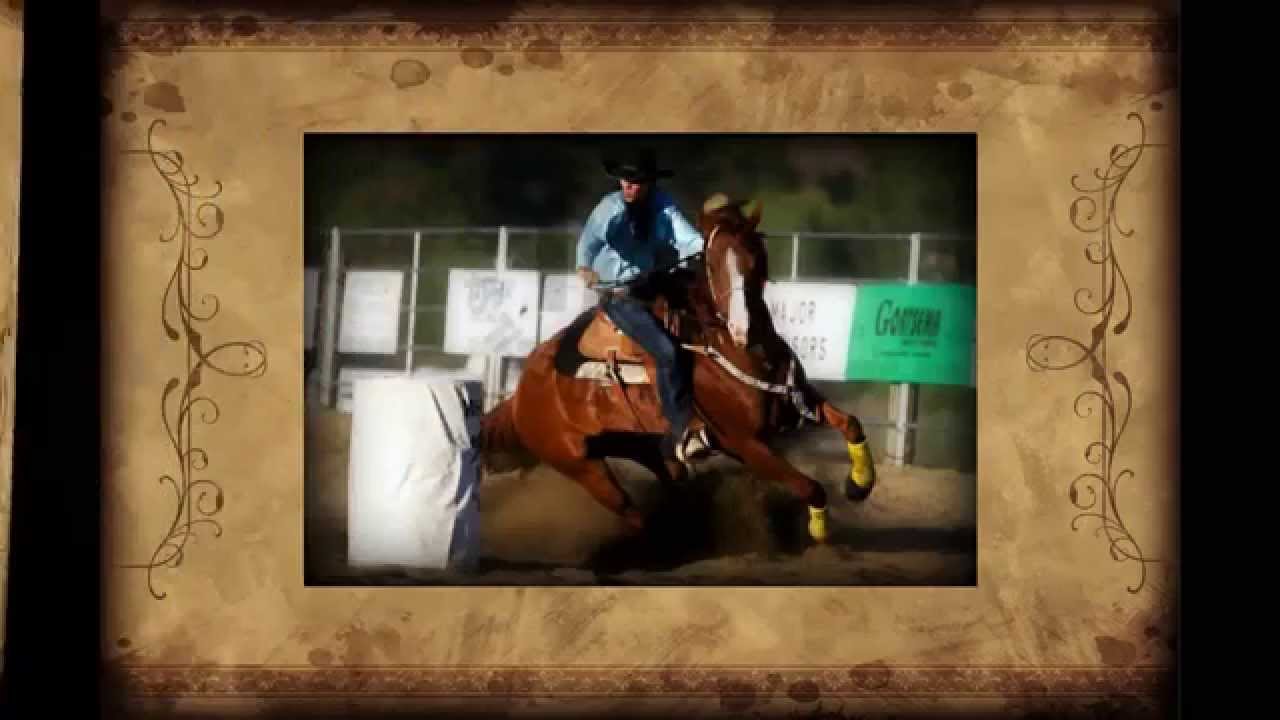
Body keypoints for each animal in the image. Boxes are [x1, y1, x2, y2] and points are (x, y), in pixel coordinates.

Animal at [478, 198, 878, 545]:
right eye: (713, 265)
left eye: (757, 256)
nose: (742, 329)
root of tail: (520, 395)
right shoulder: (744, 443)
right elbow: (810, 486)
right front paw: (819, 532)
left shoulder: (799, 400)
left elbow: (852, 424)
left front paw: (859, 484)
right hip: (580, 464)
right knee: (631, 512)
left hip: (634, 442)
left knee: (669, 475)